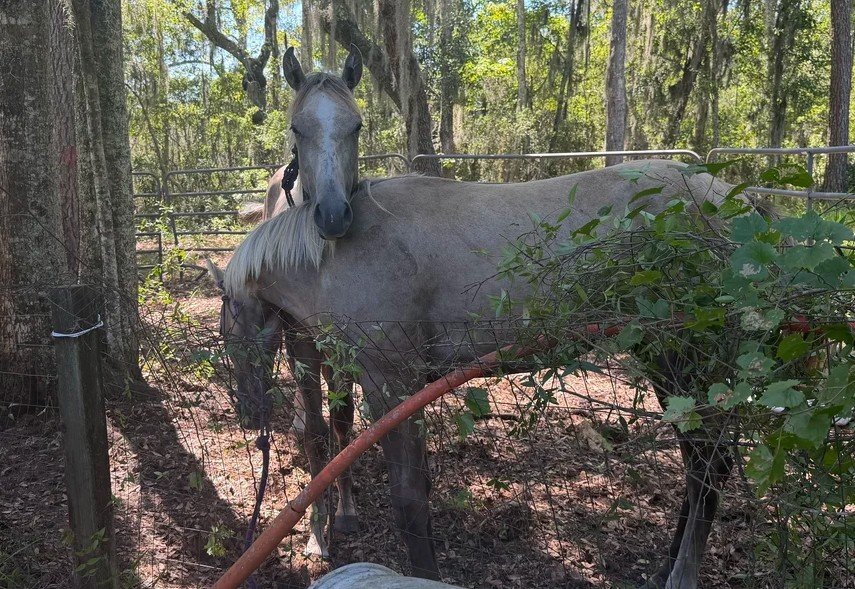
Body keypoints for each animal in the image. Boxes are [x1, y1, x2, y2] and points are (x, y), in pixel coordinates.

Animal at [211, 48, 739, 589]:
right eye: (297, 128)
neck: (340, 254)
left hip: (682, 359)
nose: (248, 412)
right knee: (698, 464)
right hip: (664, 359)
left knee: (709, 463)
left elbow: (409, 497)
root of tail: (728, 196)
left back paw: (681, 573)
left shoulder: (391, 384)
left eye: (227, 332)